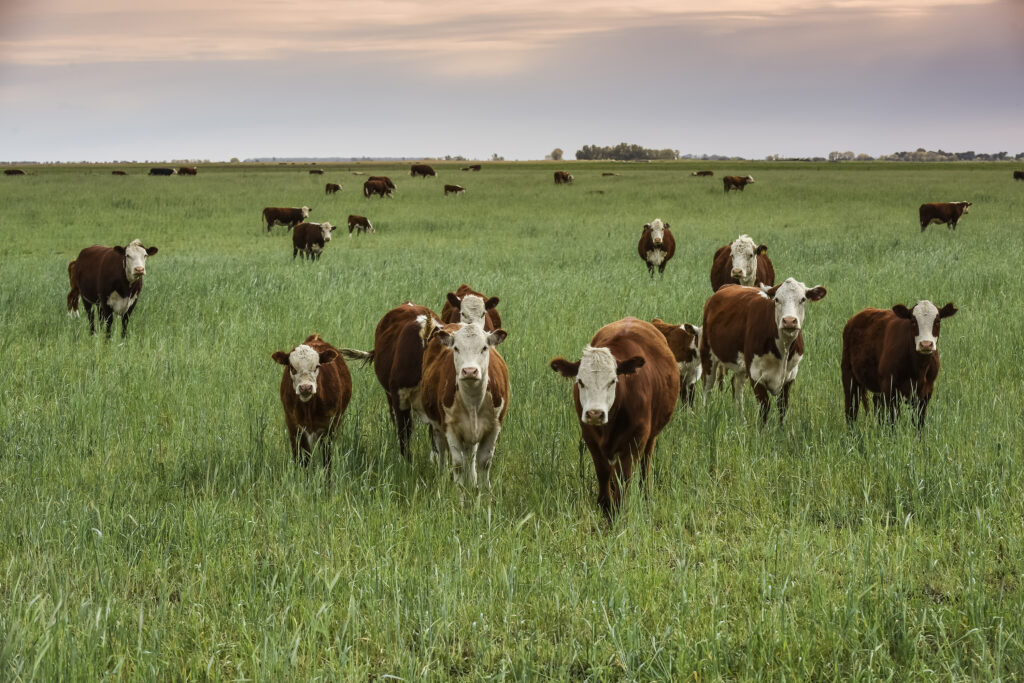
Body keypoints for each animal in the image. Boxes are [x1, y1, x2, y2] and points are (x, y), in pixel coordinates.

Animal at [272, 331, 352, 471]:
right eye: (292, 367)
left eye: (316, 366)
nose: (305, 387)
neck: (309, 408)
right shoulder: (294, 427)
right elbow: (302, 459)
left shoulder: (328, 428)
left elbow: (327, 460)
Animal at [417, 317, 509, 489]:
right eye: (456, 348)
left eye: (484, 347)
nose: (470, 371)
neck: (473, 402)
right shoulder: (450, 428)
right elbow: (458, 463)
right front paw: (459, 495)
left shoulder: (494, 426)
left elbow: (484, 462)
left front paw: (484, 494)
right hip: (437, 426)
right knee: (441, 451)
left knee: (470, 455)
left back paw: (472, 482)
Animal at [552, 317, 679, 520]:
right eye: (580, 381)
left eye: (612, 381)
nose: (595, 413)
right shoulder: (590, 437)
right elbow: (603, 472)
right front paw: (605, 505)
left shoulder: (636, 439)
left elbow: (624, 476)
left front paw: (619, 509)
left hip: (651, 437)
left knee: (645, 464)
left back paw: (645, 494)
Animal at [700, 278, 827, 421]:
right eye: (777, 299)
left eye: (803, 299)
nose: (789, 321)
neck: (782, 350)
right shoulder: (756, 375)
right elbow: (764, 407)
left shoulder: (790, 376)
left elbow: (783, 407)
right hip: (708, 353)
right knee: (708, 386)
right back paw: (705, 415)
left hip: (742, 364)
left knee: (737, 385)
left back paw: (741, 420)